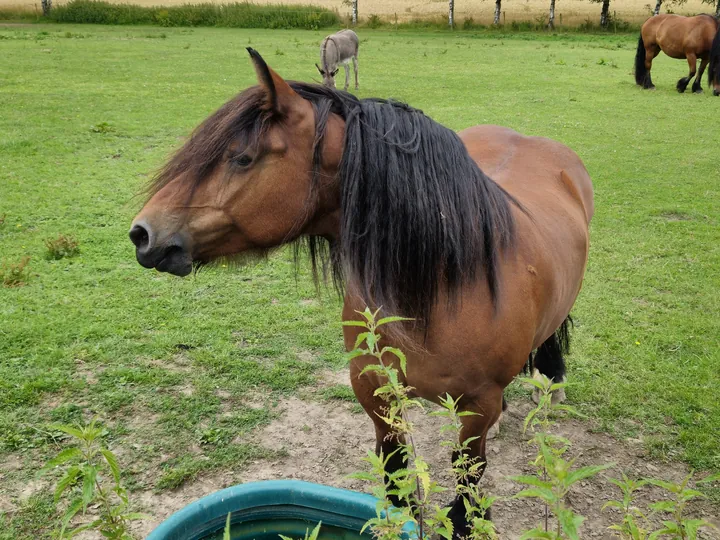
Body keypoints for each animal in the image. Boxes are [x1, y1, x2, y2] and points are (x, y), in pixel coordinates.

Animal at [128, 49, 592, 536]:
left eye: (242, 158)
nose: (143, 234)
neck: (441, 290)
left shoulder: (476, 407)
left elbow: (467, 490)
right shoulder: (375, 391)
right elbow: (397, 483)